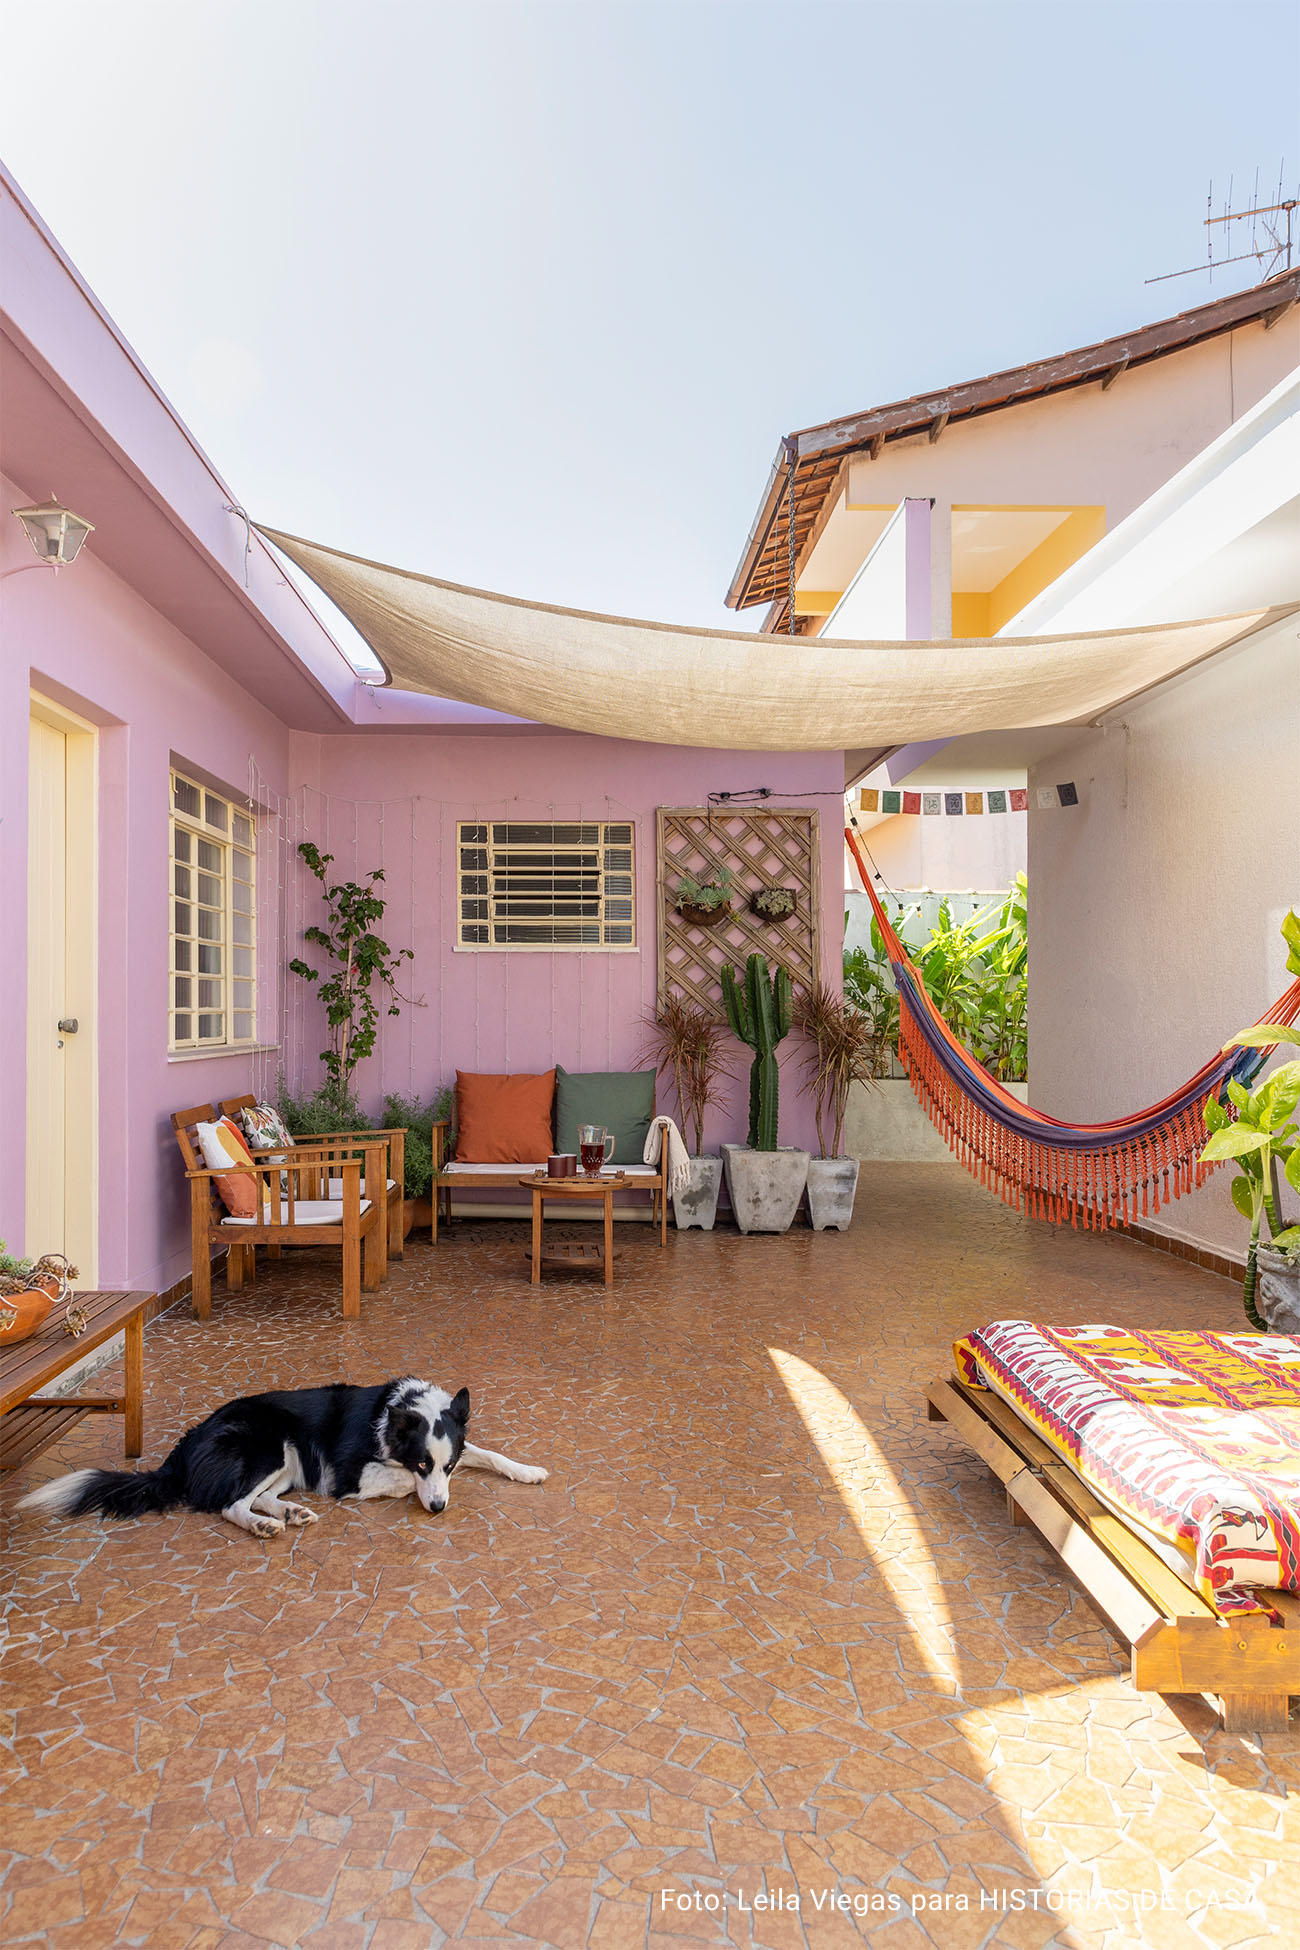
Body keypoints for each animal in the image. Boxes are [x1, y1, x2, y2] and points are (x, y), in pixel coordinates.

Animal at [20, 1372, 549, 1536]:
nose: (438, 1508)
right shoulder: (348, 1473)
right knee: (232, 1505)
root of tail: (185, 1445)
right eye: (423, 1464)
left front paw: (528, 1469)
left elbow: (489, 1452)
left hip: (287, 1460)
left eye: (449, 1466)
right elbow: (396, 1481)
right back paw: (263, 1526)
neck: (397, 1412)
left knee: (259, 1497)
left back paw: (291, 1513)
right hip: (269, 1446)